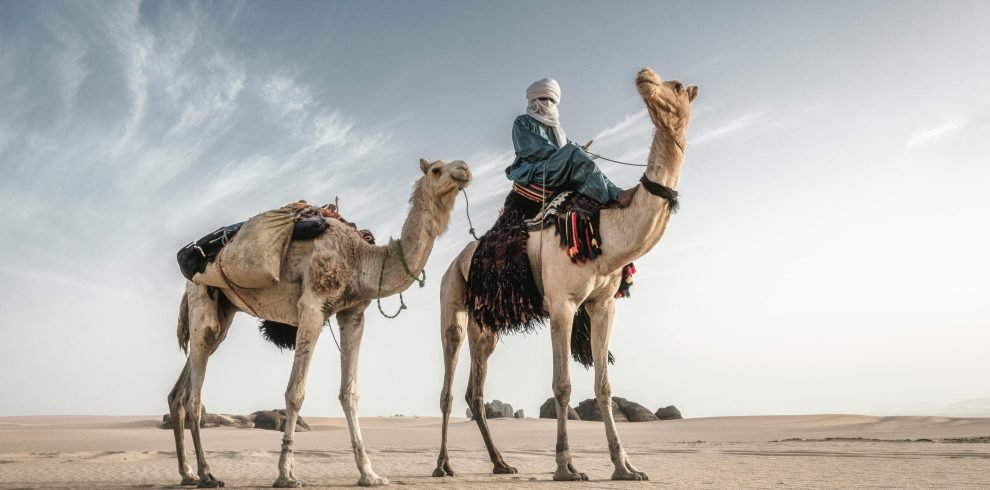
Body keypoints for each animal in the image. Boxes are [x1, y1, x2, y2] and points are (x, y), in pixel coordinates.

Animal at [167, 158, 471, 488]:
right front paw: (286, 474)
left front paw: (370, 474)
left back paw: (187, 472)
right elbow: (295, 392)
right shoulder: (312, 306)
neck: (361, 259)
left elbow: (350, 393)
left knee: (180, 393)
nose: (464, 169)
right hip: (202, 301)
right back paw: (207, 474)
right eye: (437, 170)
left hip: (225, 312)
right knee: (194, 395)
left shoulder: (352, 313)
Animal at [433, 68, 698, 481]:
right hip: (452, 301)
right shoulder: (562, 303)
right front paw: (566, 467)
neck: (608, 228)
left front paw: (625, 467)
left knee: (474, 392)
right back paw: (443, 465)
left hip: (486, 321)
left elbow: (604, 385)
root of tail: (456, 261)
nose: (644, 76)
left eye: (676, 86)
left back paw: (501, 463)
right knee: (448, 383)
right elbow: (562, 385)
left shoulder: (602, 304)